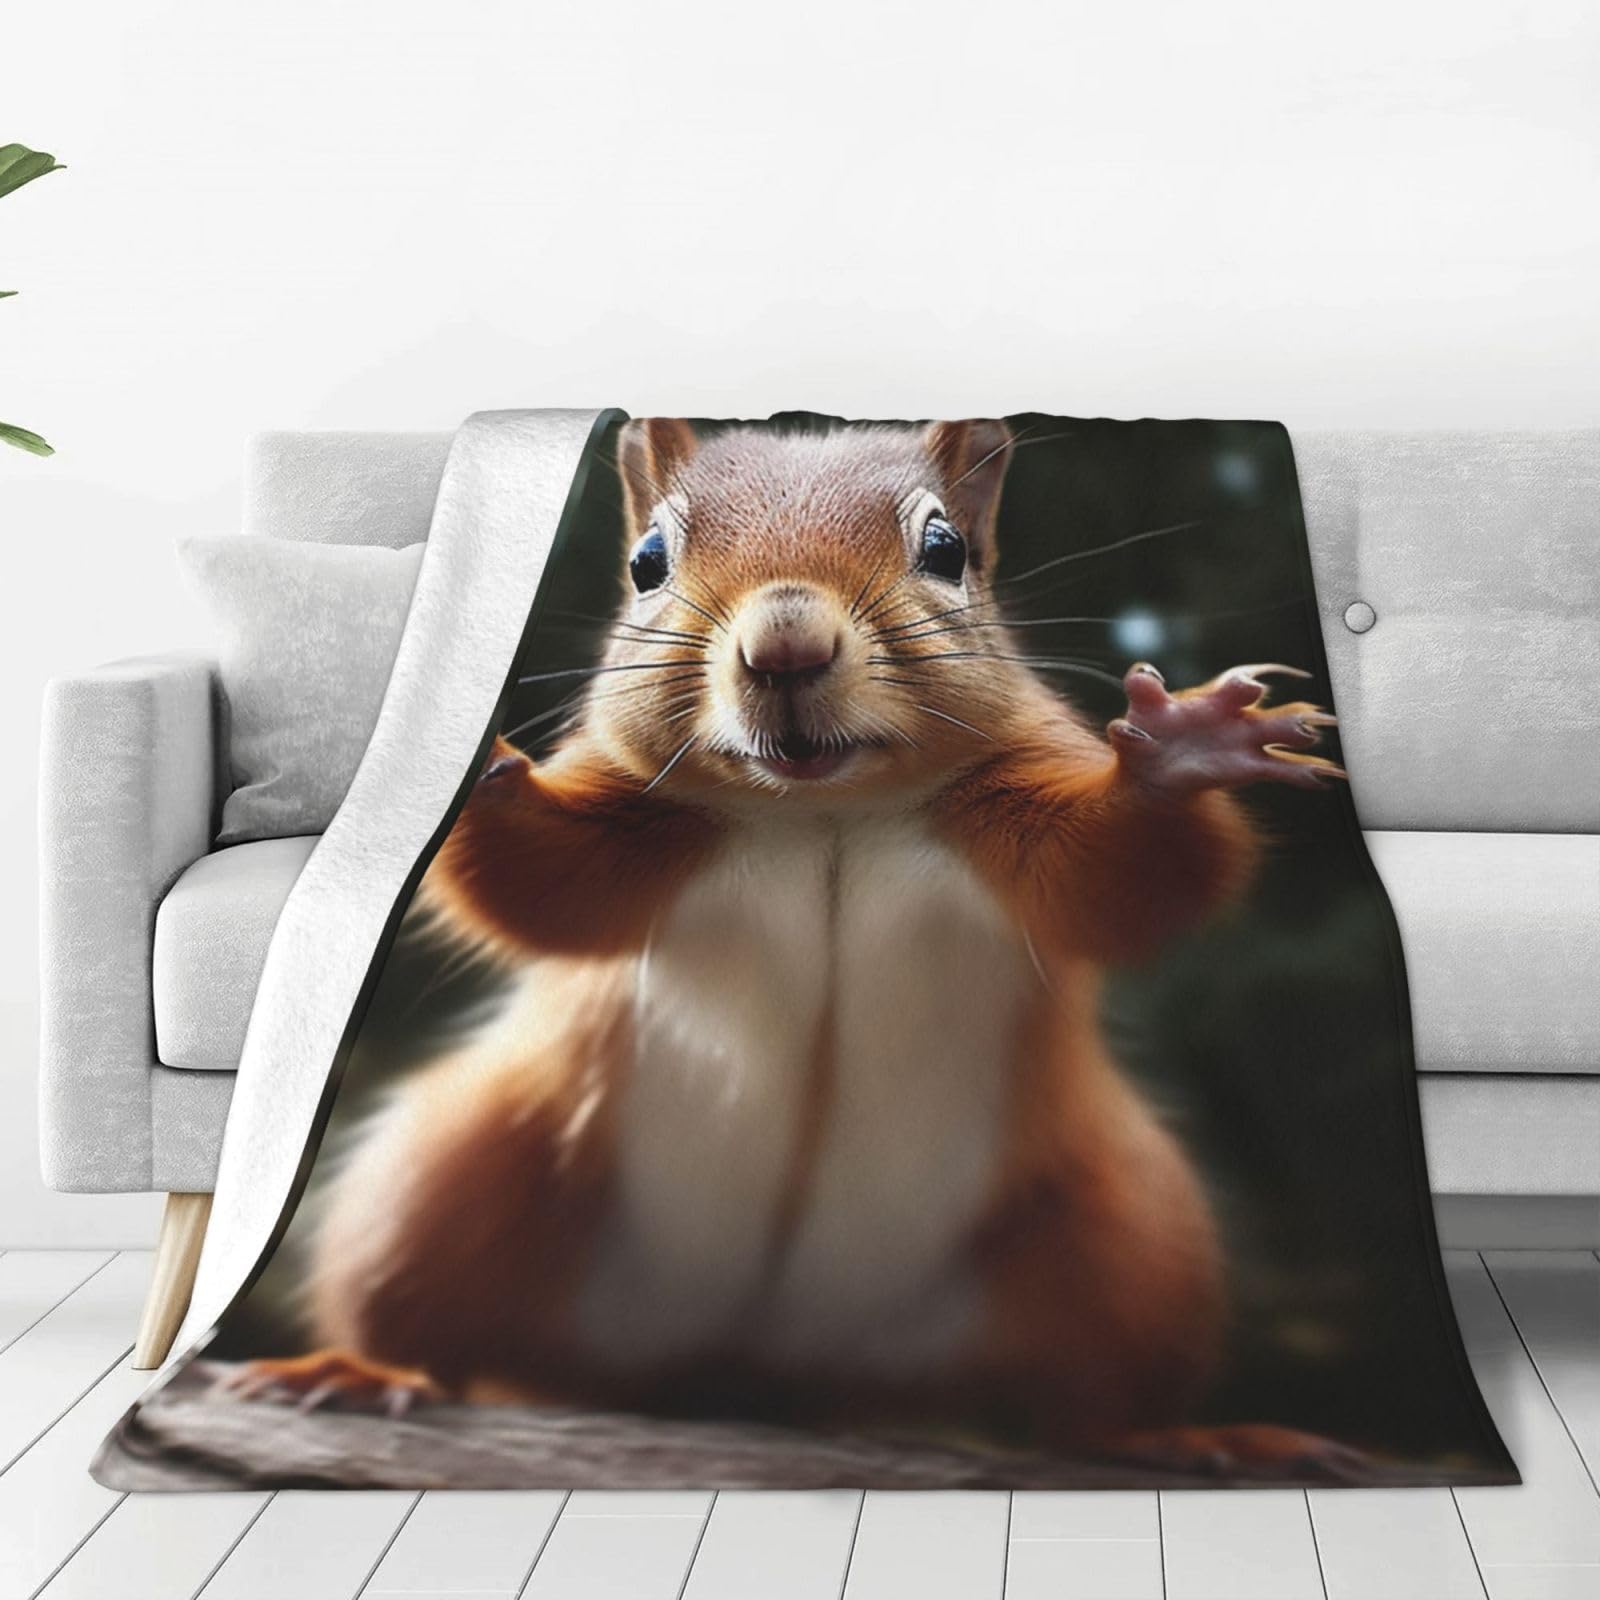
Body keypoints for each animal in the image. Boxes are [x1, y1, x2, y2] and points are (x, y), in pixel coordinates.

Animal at [225, 418, 1355, 1477]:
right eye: (647, 561)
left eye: (945, 548)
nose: (785, 647)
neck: (820, 811)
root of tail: (768, 1371)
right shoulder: (631, 824)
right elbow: (541, 885)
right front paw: (475, 761)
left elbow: (1122, 882)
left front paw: (1182, 750)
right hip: (458, 1177)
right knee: (422, 1315)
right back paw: (359, 1369)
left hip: (1127, 1233)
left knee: (1092, 1398)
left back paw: (1181, 1437)